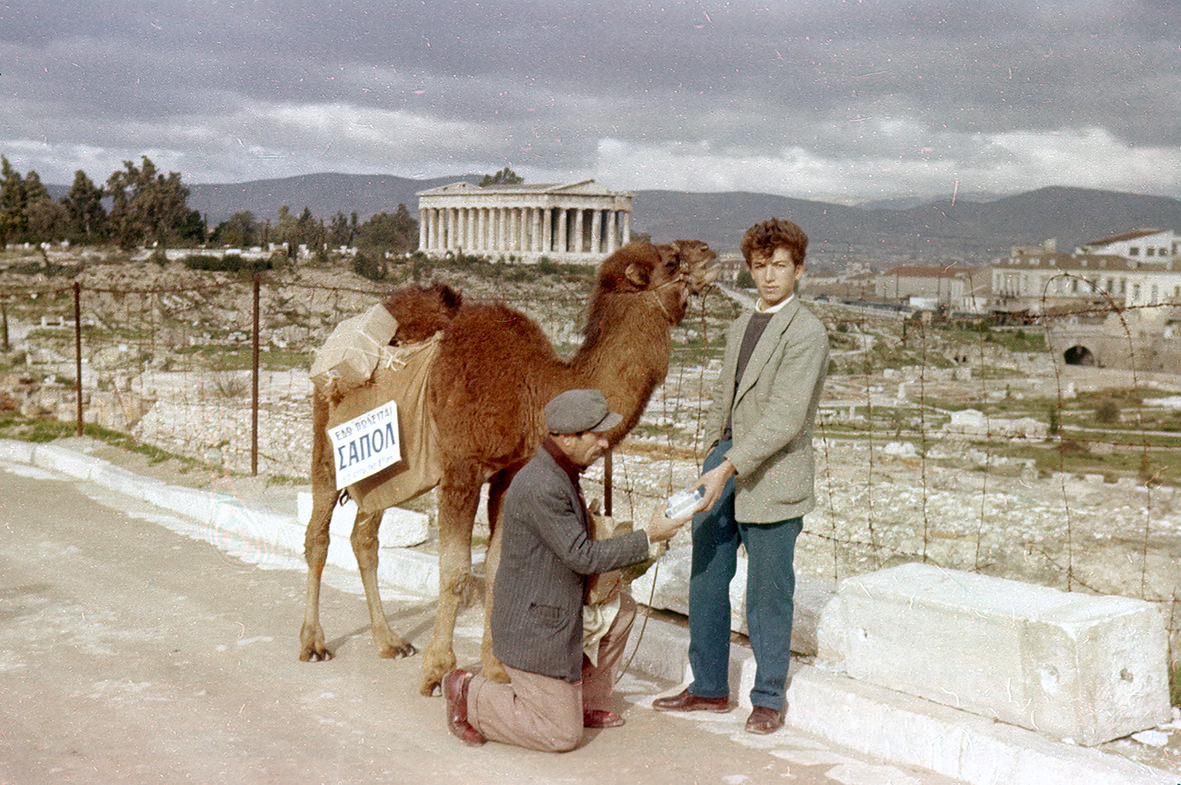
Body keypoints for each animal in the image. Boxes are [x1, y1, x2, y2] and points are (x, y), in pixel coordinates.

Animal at [299, 237, 713, 694]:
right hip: (328, 439)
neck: (535, 391)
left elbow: (498, 569)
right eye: (672, 261)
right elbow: (456, 571)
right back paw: (313, 643)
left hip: (389, 470)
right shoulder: (462, 467)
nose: (709, 252)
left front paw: (496, 668)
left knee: (364, 536)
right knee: (319, 531)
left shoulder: (508, 473)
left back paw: (389, 641)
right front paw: (438, 671)